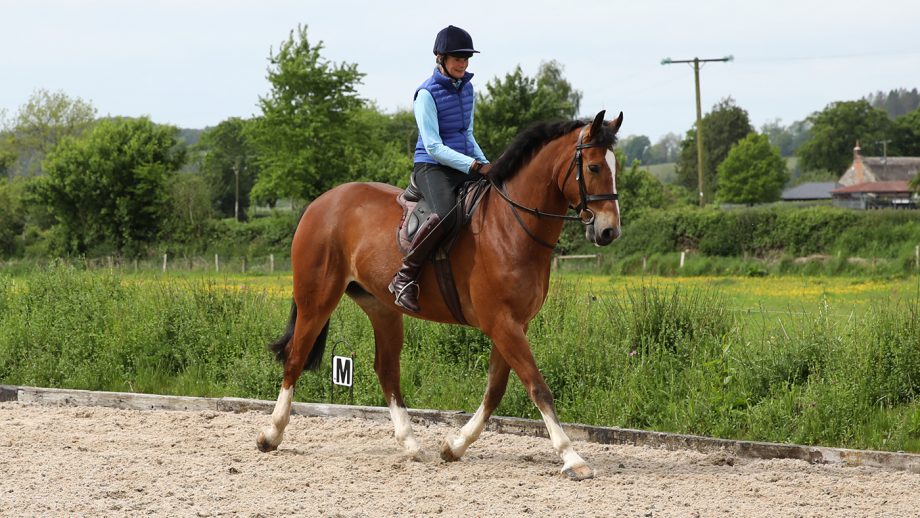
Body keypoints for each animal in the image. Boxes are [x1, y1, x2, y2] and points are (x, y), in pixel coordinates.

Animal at [255, 109, 620, 484]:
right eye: (594, 167)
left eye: (614, 166)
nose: (609, 231)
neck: (510, 227)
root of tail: (321, 203)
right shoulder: (502, 323)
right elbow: (537, 387)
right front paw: (572, 458)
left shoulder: (515, 324)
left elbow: (495, 389)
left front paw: (455, 446)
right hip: (317, 300)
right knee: (295, 358)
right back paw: (271, 435)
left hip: (382, 308)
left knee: (386, 370)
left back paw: (412, 446)